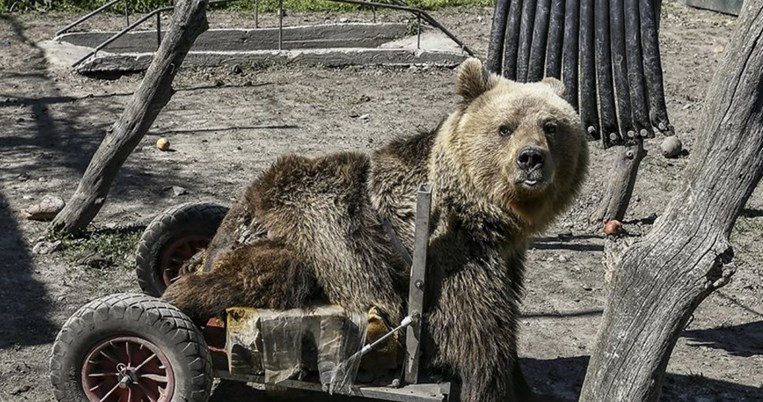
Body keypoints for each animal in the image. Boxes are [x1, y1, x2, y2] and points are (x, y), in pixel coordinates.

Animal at [164, 57, 588, 402]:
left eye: (551, 126)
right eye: (505, 128)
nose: (530, 159)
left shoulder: (503, 257)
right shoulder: (451, 257)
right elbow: (479, 339)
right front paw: (493, 386)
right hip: (302, 236)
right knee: (259, 276)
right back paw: (178, 299)